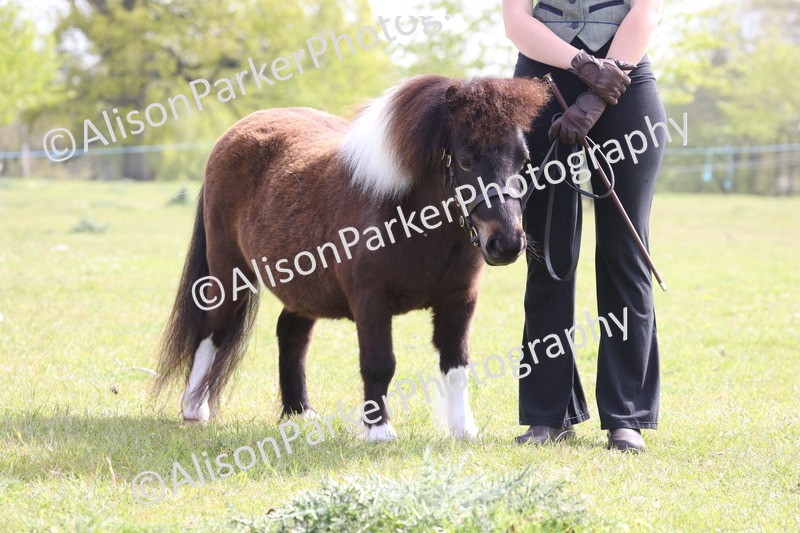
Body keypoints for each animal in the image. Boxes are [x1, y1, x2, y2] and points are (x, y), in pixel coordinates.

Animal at [155, 74, 549, 441]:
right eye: (466, 160)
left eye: (524, 160)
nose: (506, 243)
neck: (403, 214)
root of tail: (233, 134)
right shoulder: (370, 301)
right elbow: (379, 364)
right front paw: (379, 432)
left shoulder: (459, 301)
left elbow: (456, 365)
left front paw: (462, 429)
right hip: (228, 273)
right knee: (211, 330)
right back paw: (194, 408)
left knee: (291, 334)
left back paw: (300, 413)